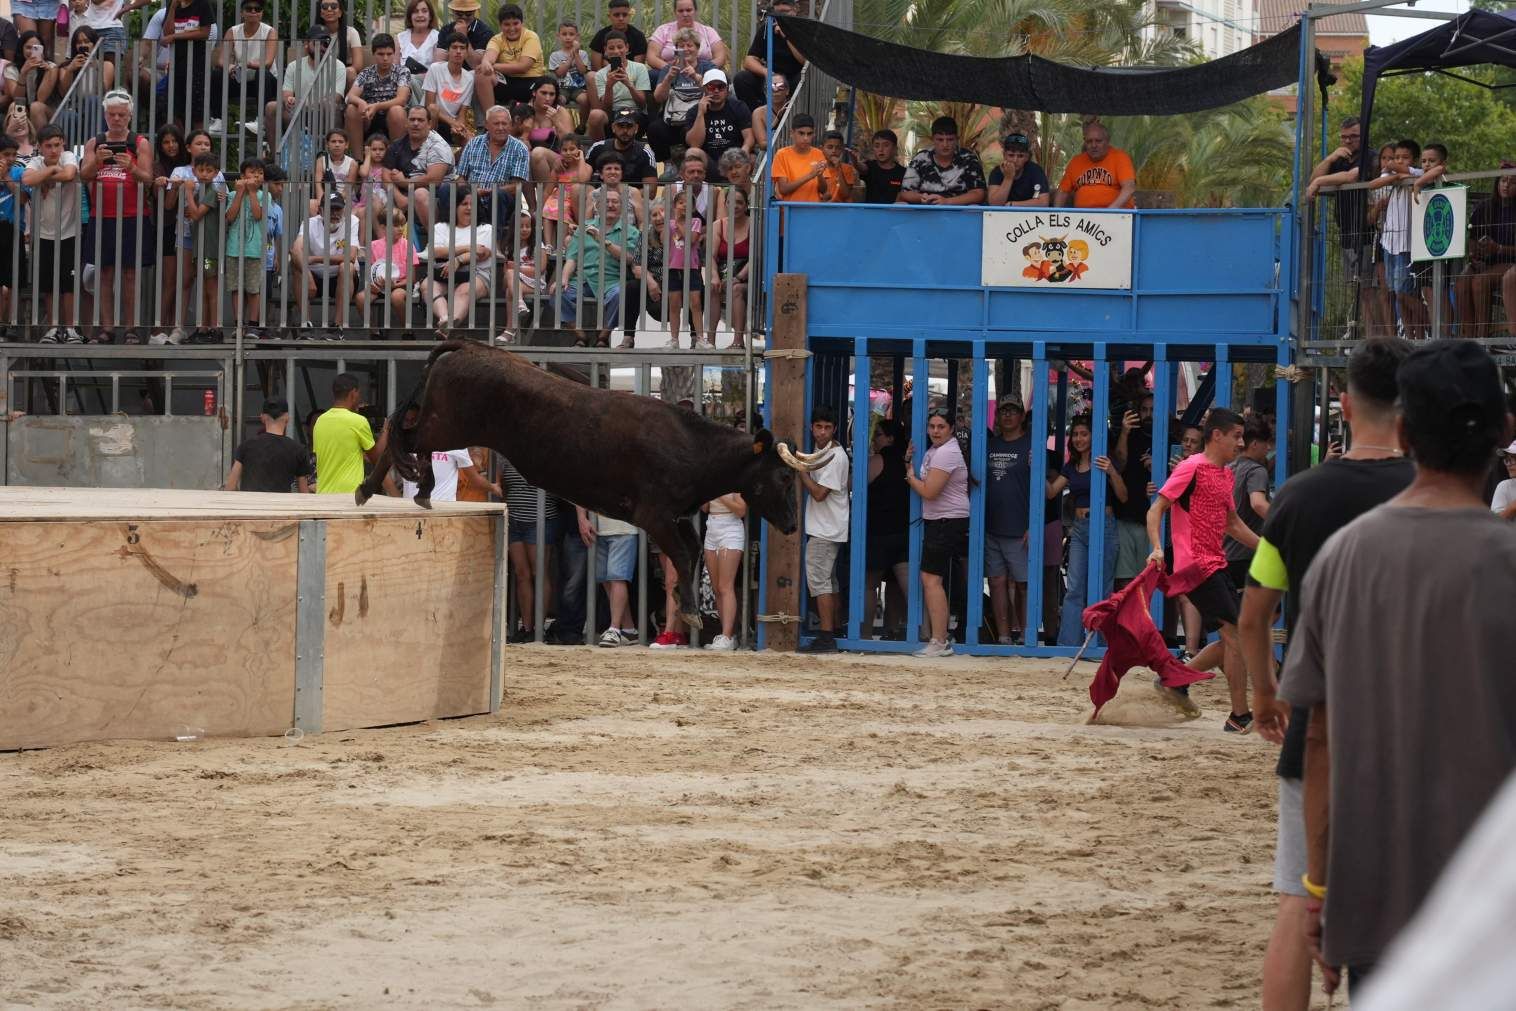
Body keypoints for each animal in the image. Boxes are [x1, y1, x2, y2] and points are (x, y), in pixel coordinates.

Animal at [350, 344, 836, 627]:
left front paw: (686, 604)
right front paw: (692, 612)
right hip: (445, 424)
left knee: (404, 432)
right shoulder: (654, 515)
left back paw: (410, 490)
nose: (792, 526)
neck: (692, 446)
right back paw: (378, 488)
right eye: (781, 476)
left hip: (445, 425)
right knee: (399, 430)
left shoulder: (676, 517)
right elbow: (683, 554)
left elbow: (694, 551)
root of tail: (467, 348)